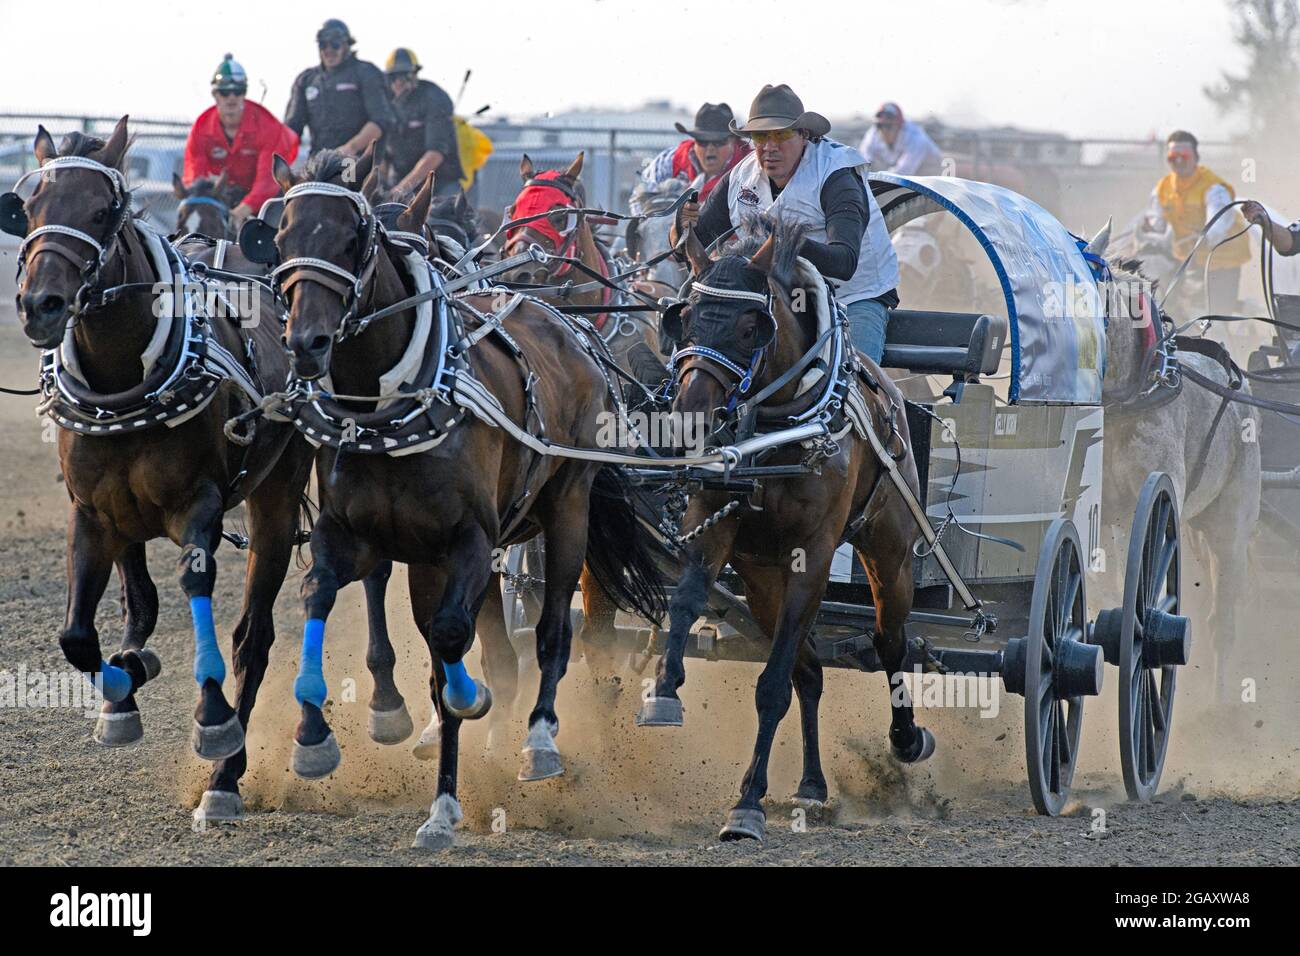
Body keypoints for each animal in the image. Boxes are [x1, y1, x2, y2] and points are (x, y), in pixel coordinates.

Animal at [8, 117, 314, 822]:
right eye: (27, 208)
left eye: (102, 211)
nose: (41, 305)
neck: (124, 384)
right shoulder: (94, 513)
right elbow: (81, 633)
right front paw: (124, 686)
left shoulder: (197, 506)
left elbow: (195, 590)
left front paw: (213, 724)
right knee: (141, 603)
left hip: (278, 498)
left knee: (253, 637)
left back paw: (226, 777)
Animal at [270, 147, 665, 842]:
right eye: (281, 236)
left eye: (353, 238)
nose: (305, 343)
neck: (388, 408)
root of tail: (565, 327)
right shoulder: (356, 535)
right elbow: (322, 594)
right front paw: (317, 739)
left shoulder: (472, 541)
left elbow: (455, 644)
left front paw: (447, 789)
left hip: (567, 510)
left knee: (556, 631)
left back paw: (540, 742)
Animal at [639, 221, 935, 842]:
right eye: (683, 316)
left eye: (751, 326)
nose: (689, 418)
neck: (776, 431)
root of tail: (896, 397)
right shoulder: (714, 519)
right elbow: (685, 599)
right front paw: (664, 690)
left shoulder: (813, 559)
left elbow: (771, 686)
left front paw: (747, 804)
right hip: (760, 580)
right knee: (812, 671)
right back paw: (812, 783)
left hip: (889, 554)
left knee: (890, 641)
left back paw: (906, 738)